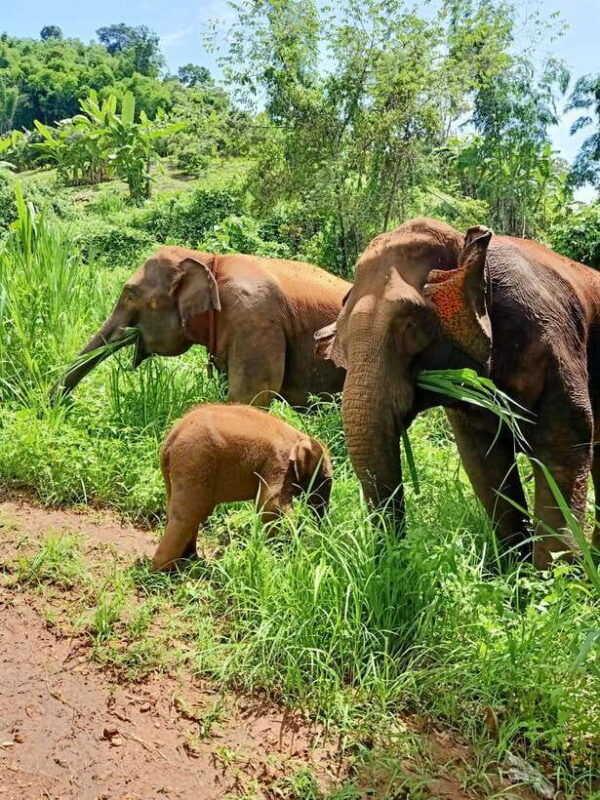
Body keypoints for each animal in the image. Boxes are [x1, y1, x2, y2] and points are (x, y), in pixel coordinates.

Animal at [153, 403, 333, 570]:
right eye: (326, 479)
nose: (322, 532)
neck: (299, 436)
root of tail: (172, 435)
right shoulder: (278, 462)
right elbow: (271, 507)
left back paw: (191, 559)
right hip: (195, 459)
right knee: (189, 512)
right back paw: (164, 570)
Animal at [315, 217, 600, 569]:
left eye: (411, 324)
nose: (395, 559)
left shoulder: (552, 338)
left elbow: (562, 444)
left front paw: (552, 577)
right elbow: (483, 461)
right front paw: (512, 573)